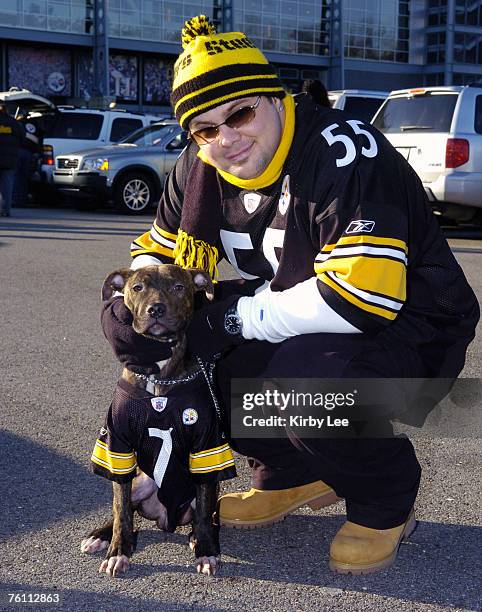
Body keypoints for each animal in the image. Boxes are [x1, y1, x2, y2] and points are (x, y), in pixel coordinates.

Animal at [80, 266, 223, 576]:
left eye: (179, 287)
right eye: (137, 288)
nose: (155, 309)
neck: (159, 374)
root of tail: (165, 520)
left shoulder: (206, 448)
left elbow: (204, 511)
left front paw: (207, 550)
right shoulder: (117, 447)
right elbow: (121, 511)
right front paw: (118, 552)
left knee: (207, 513)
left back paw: (196, 537)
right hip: (141, 481)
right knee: (123, 511)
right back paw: (101, 536)